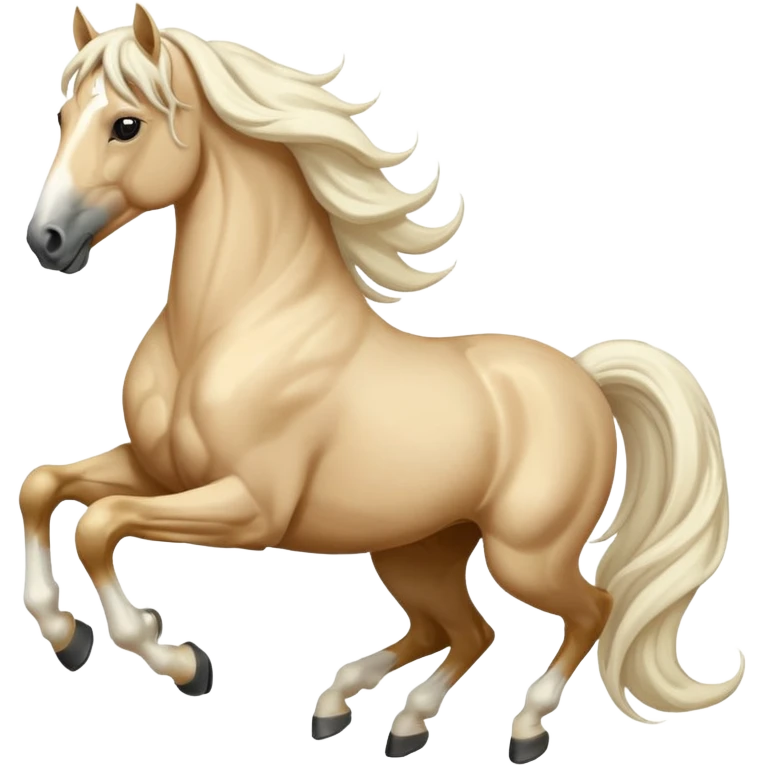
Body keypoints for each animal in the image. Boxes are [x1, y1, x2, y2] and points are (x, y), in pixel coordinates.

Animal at [21, 4, 744, 761]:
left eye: (126, 124)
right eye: (63, 115)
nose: (47, 239)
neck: (231, 327)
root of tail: (583, 376)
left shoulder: (250, 505)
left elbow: (99, 525)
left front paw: (181, 661)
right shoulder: (157, 471)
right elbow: (43, 487)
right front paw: (68, 636)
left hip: (524, 554)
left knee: (587, 609)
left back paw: (523, 726)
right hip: (415, 547)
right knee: (460, 629)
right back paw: (373, 714)